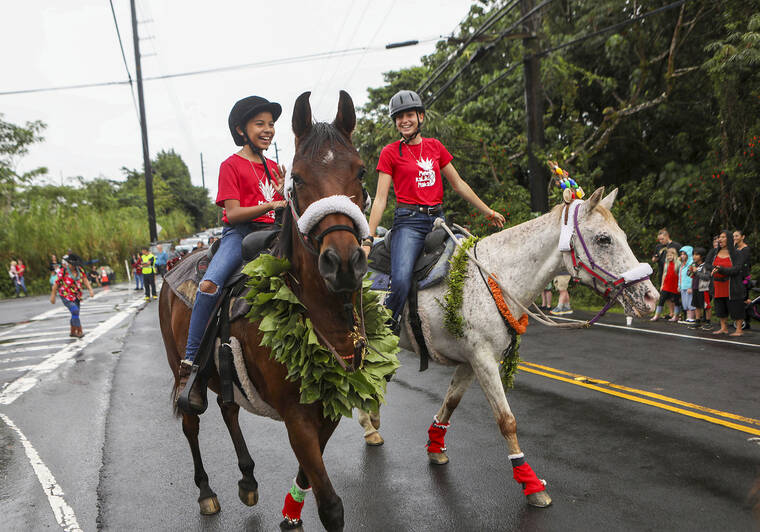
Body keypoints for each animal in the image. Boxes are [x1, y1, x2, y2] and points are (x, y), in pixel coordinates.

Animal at [162, 91, 370, 532]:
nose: (343, 263)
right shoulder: (296, 417)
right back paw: (206, 492)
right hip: (180, 368)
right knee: (191, 421)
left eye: (361, 172)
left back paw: (247, 478)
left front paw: (291, 514)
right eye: (299, 180)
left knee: (228, 408)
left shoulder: (327, 406)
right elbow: (331, 506)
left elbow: (308, 477)